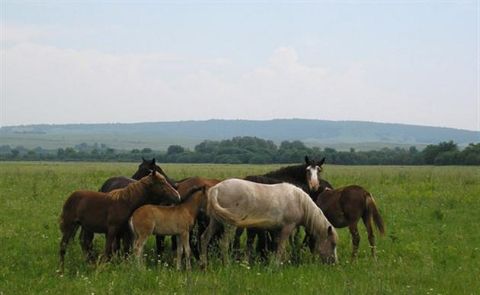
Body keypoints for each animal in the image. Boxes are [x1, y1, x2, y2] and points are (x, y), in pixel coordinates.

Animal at [200, 178, 338, 268]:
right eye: (333, 244)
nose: (334, 263)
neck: (299, 202)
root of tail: (216, 188)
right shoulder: (287, 227)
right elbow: (281, 247)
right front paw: (277, 265)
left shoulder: (276, 229)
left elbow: (276, 245)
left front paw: (279, 262)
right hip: (229, 225)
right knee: (223, 243)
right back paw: (227, 265)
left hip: (215, 222)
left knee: (205, 238)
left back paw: (204, 264)